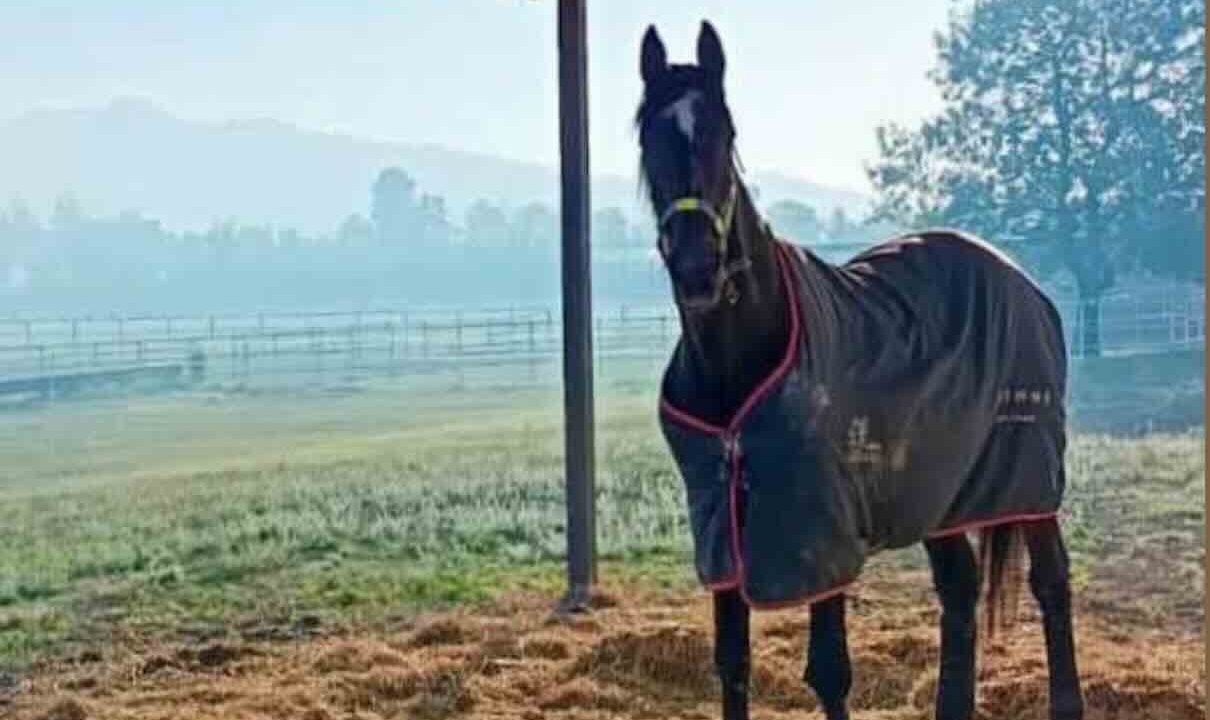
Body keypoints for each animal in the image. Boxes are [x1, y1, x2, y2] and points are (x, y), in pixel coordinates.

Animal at [638, 22, 1084, 720]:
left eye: (725, 133)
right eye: (647, 136)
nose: (697, 269)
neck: (744, 357)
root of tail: (1022, 281)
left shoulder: (819, 530)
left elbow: (829, 671)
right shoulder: (725, 532)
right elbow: (732, 664)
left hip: (1028, 476)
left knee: (1051, 581)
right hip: (939, 489)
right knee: (959, 589)